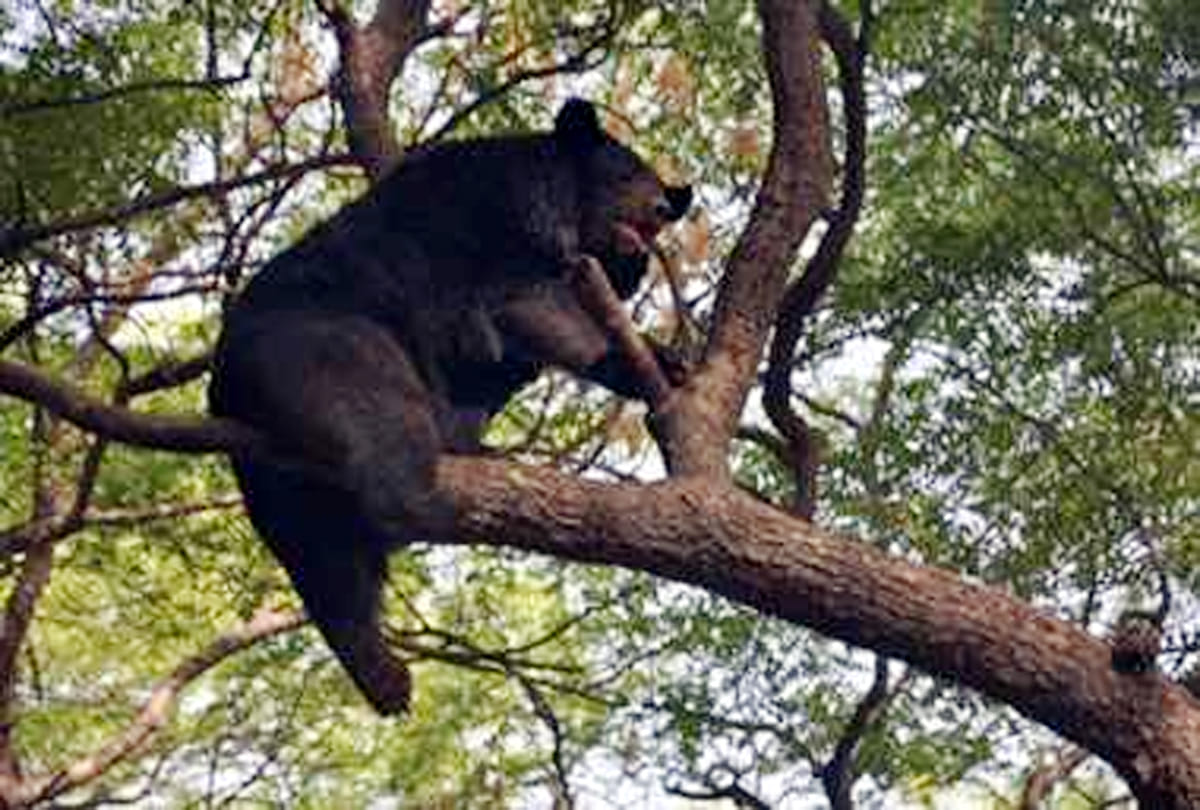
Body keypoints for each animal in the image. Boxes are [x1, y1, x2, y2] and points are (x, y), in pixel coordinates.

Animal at [208, 99, 692, 715]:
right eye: (626, 173)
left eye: (657, 190)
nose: (665, 206)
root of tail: (225, 386)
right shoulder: (501, 220)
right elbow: (535, 306)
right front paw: (639, 359)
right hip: (319, 342)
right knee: (384, 429)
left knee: (325, 557)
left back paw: (381, 671)